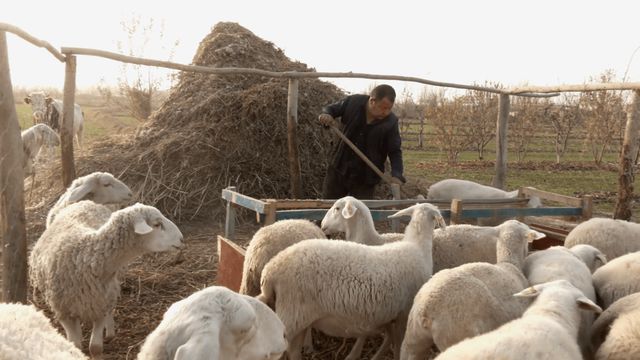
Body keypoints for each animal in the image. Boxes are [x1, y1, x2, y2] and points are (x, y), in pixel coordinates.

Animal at [30, 201, 185, 356]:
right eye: (157, 224)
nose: (181, 239)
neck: (85, 258)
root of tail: (85, 202)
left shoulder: (101, 305)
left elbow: (95, 347)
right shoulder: (63, 311)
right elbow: (75, 345)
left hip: (111, 289)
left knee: (111, 308)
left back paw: (110, 332)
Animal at [258, 202, 442, 360]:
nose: (323, 224)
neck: (417, 247)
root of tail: (271, 269)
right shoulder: (403, 315)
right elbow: (398, 346)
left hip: (298, 318)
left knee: (293, 350)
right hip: (292, 314)